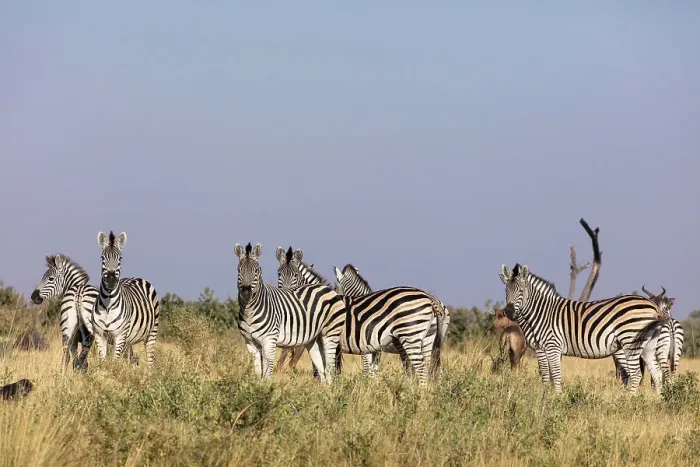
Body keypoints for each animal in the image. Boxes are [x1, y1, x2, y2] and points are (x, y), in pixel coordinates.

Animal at [77, 231, 160, 368]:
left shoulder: (120, 336)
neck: (108, 305)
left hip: (152, 333)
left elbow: (114, 363)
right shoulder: (100, 335)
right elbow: (103, 361)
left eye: (120, 258)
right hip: (129, 339)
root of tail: (137, 278)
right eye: (102, 258)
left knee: (150, 361)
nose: (111, 281)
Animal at [234, 242, 347, 383]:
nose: (246, 293)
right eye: (239, 270)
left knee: (330, 367)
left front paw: (267, 387)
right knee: (321, 368)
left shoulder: (269, 340)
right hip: (314, 339)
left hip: (331, 333)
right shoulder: (250, 342)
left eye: (257, 271)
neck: (249, 311)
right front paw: (257, 386)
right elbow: (258, 372)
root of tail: (329, 289)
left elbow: (268, 371)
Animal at [499, 263, 670, 393]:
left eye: (521, 291)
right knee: (656, 372)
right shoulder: (541, 348)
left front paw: (556, 398)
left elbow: (555, 374)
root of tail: (653, 305)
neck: (542, 312)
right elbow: (546, 375)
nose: (509, 312)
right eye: (506, 291)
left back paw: (630, 400)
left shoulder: (552, 346)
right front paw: (546, 395)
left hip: (631, 341)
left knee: (636, 374)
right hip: (647, 345)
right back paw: (656, 401)